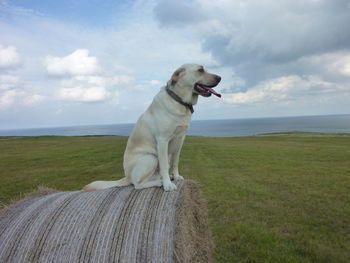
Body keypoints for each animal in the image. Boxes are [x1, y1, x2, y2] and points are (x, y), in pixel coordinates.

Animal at [82, 64, 220, 192]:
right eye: (200, 70)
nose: (220, 77)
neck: (179, 101)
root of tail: (126, 177)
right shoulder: (163, 140)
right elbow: (164, 166)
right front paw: (168, 185)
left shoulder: (180, 140)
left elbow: (175, 162)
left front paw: (176, 176)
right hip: (150, 158)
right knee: (137, 184)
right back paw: (159, 182)